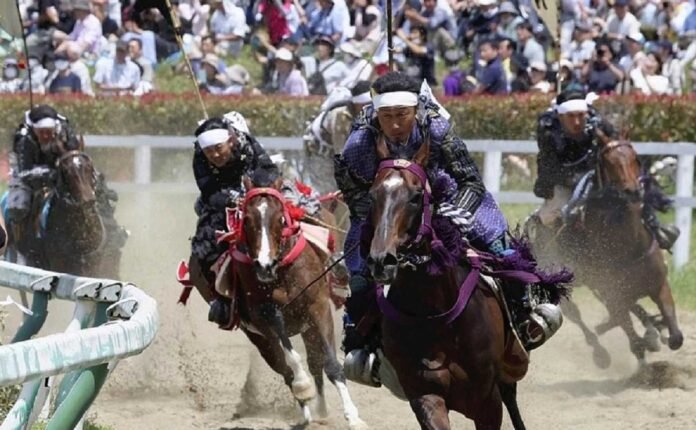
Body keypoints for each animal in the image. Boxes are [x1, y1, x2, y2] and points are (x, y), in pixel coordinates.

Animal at [220, 176, 368, 428]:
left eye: (280, 218)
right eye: (246, 220)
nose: (264, 265)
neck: (282, 272)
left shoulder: (318, 307)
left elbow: (331, 365)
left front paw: (354, 417)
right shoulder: (267, 315)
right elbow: (290, 356)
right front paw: (303, 387)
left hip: (308, 327)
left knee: (315, 364)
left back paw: (321, 410)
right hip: (262, 339)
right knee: (285, 370)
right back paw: (306, 411)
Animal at [368, 139, 524, 430]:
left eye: (416, 196)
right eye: (373, 195)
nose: (382, 260)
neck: (434, 314)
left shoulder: (488, 400)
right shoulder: (425, 395)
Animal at [532, 134, 684, 366]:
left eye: (634, 158)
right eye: (609, 163)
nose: (632, 191)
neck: (630, 246)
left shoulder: (659, 286)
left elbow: (675, 337)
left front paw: (657, 332)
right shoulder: (614, 297)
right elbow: (634, 341)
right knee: (575, 315)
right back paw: (600, 351)